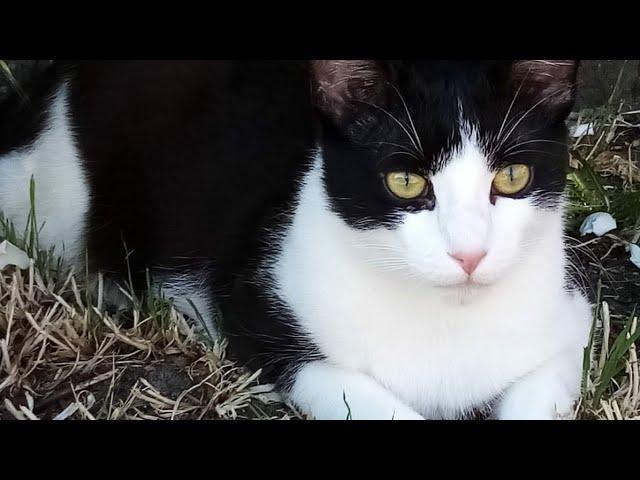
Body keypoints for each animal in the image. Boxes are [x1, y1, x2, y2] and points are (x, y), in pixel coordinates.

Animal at [0, 61, 592, 420]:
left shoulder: (570, 323)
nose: (469, 254)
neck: (446, 318)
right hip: (52, 189)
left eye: (511, 176)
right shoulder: (258, 315)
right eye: (405, 181)